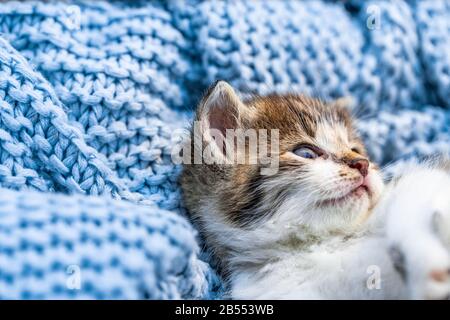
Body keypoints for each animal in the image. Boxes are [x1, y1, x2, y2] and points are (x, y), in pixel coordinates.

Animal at [179, 80, 450, 300]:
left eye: (356, 150)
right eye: (305, 153)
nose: (363, 164)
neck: (321, 242)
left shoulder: (424, 182)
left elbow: (412, 195)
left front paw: (427, 258)